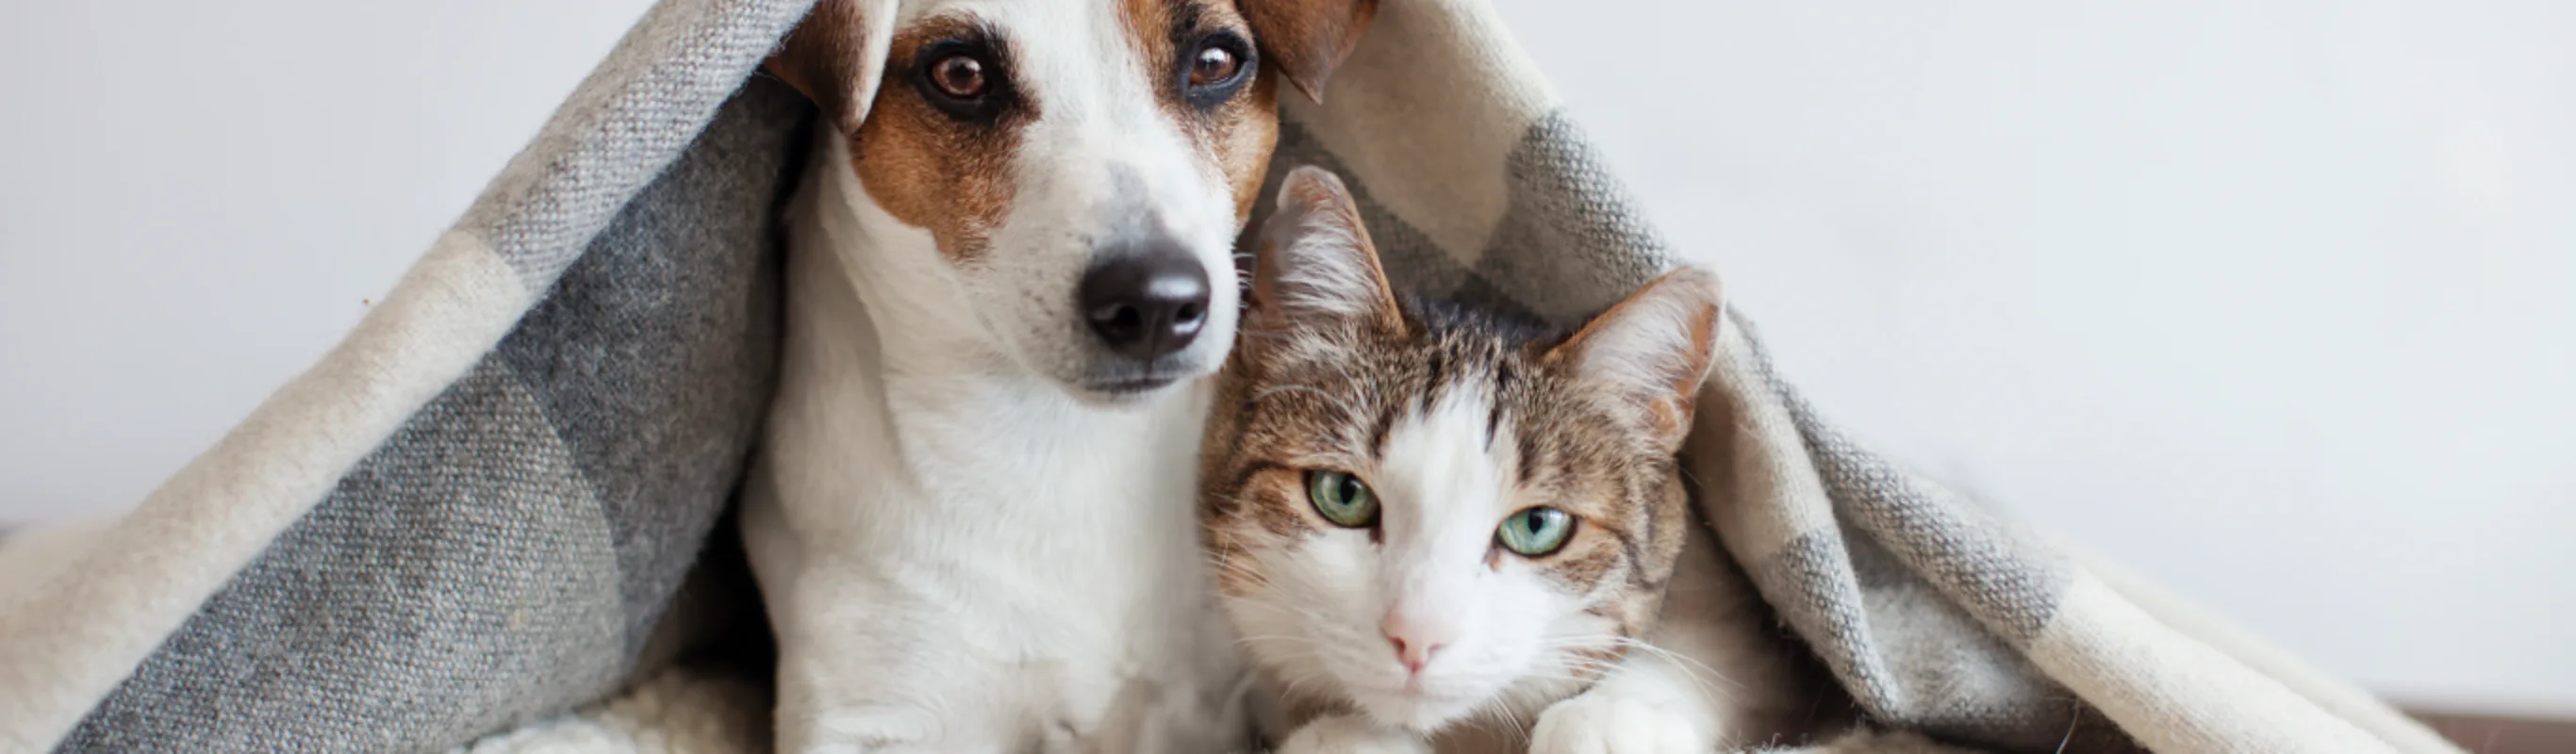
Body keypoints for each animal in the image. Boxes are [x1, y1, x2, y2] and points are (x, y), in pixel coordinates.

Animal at [1195, 166, 1824, 751]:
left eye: (1538, 526)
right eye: (1342, 494)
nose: (1417, 637)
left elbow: (1722, 652)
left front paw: (1611, 719)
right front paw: (1347, 737)